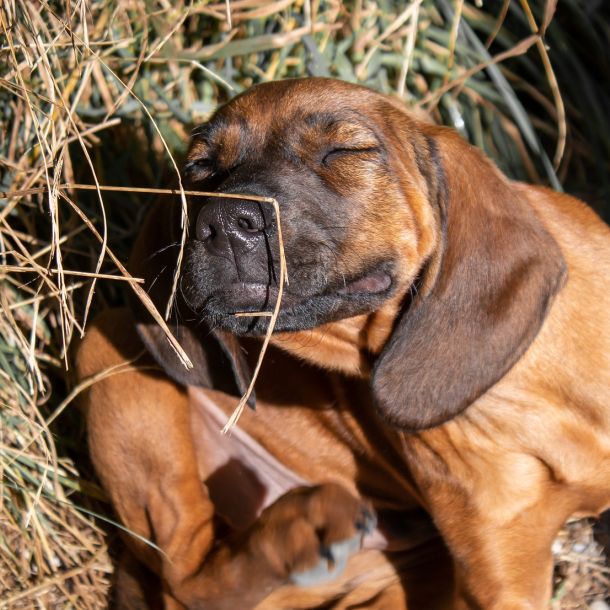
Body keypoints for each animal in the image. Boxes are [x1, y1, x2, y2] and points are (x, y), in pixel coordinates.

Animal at [76, 77, 608, 608]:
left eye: (345, 151)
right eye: (200, 167)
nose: (225, 223)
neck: (519, 397)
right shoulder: (498, 581)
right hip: (107, 341)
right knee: (186, 579)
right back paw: (302, 527)